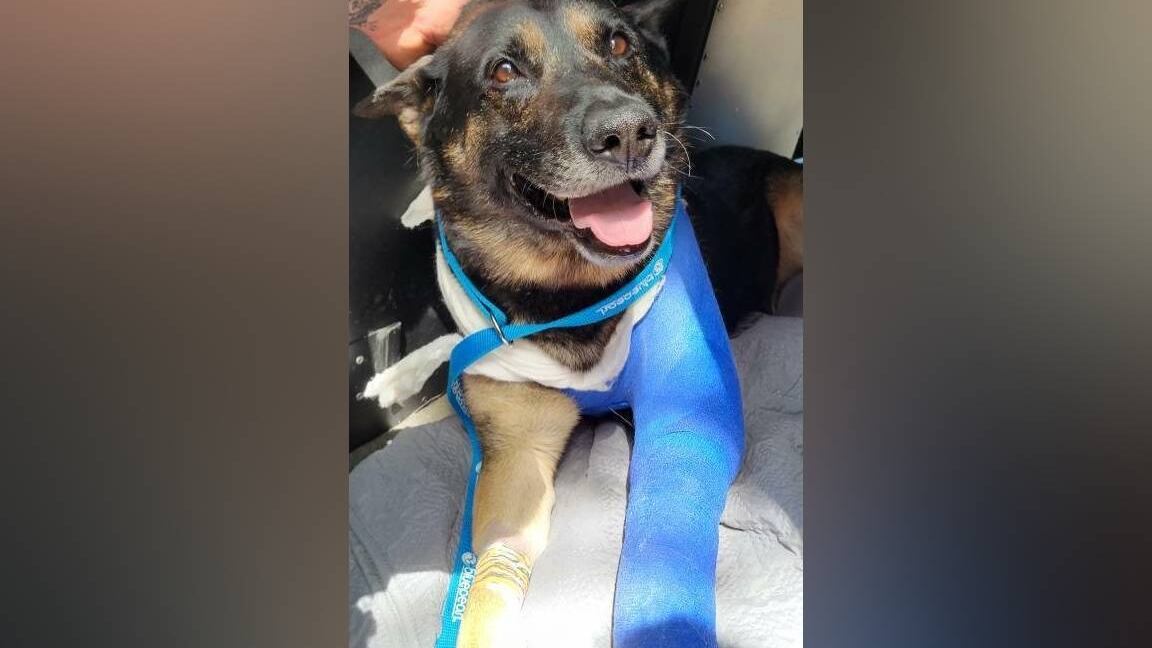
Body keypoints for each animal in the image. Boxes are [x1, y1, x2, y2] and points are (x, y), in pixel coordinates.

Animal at [354, 1, 802, 645]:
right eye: (504, 71)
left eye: (619, 45)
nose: (629, 133)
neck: (566, 298)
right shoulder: (518, 454)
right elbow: (487, 589)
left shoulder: (685, 417)